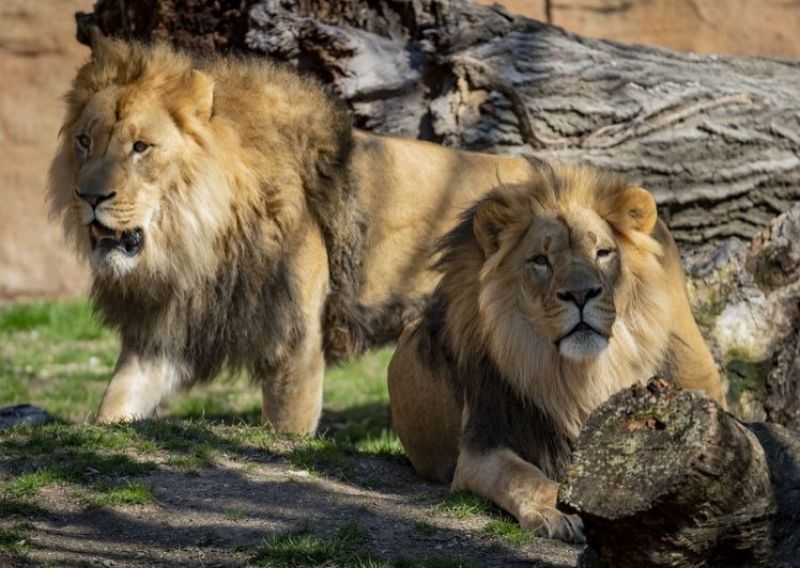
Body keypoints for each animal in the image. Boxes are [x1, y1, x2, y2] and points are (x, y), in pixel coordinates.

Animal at [47, 35, 534, 432]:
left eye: (141, 147)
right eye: (84, 141)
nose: (88, 196)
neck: (198, 243)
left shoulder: (295, 341)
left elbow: (286, 428)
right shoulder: (160, 334)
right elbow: (114, 405)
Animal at [387, 161, 726, 542]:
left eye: (603, 253)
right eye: (540, 260)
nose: (581, 294)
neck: (577, 375)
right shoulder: (481, 445)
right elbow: (520, 476)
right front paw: (556, 510)